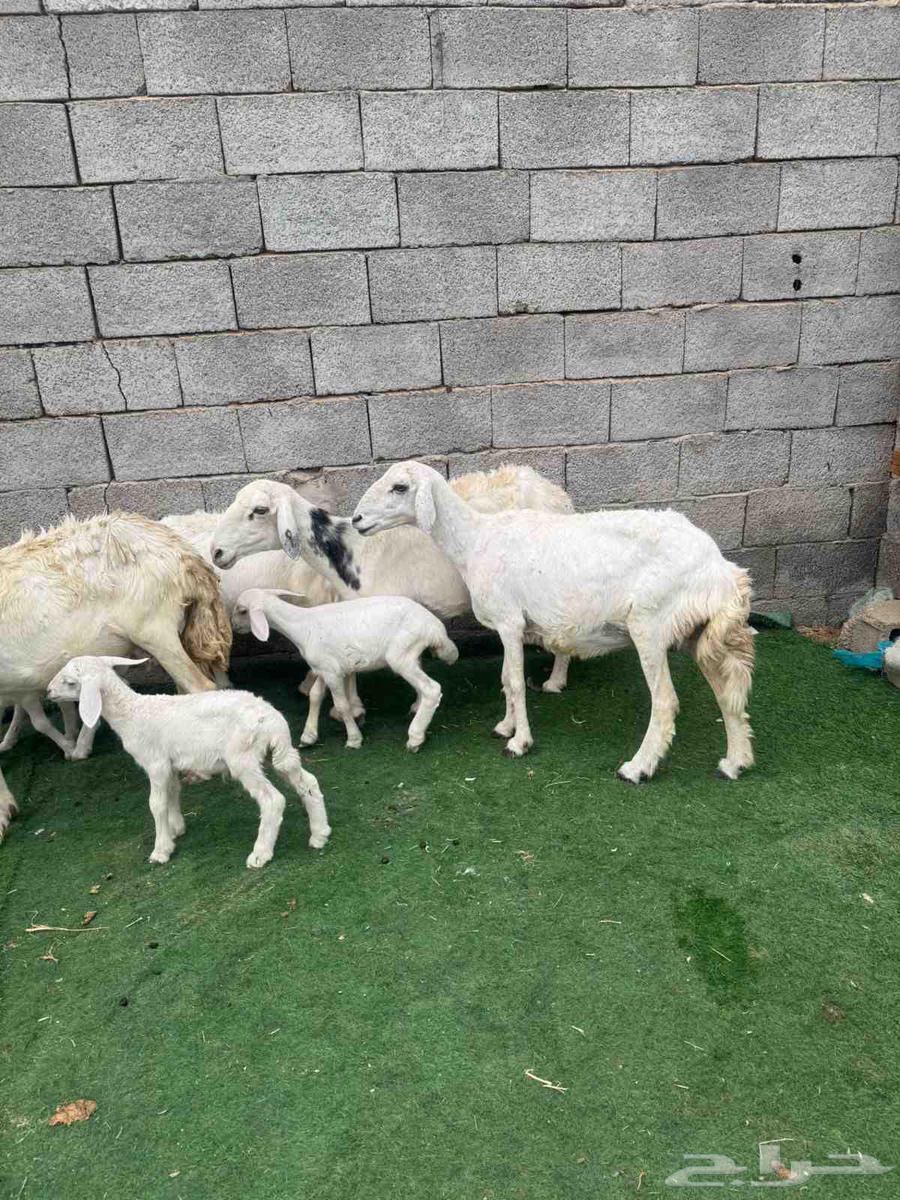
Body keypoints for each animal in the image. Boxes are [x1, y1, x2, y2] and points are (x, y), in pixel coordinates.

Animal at [46, 656, 330, 868]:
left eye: (70, 682)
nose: (48, 692)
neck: (132, 713)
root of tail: (271, 720)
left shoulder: (156, 763)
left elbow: (156, 804)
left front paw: (161, 850)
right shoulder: (170, 764)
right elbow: (173, 793)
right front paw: (175, 829)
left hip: (243, 758)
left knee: (273, 800)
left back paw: (261, 853)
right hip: (278, 752)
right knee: (308, 782)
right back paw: (320, 834)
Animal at [233, 588, 458, 752]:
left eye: (242, 610)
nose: (233, 627)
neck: (301, 626)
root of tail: (436, 629)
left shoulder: (332, 673)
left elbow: (342, 705)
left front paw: (354, 739)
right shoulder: (324, 667)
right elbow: (315, 696)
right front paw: (308, 737)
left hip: (401, 655)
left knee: (432, 689)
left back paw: (415, 738)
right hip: (411, 654)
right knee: (423, 687)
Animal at [350, 461, 755, 783]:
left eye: (400, 487)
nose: (356, 520)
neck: (474, 540)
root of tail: (721, 570)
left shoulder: (509, 621)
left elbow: (515, 683)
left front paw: (519, 742)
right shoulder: (507, 626)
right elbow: (505, 678)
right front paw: (506, 727)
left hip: (650, 624)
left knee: (666, 702)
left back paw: (637, 768)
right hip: (701, 630)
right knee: (727, 693)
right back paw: (734, 763)